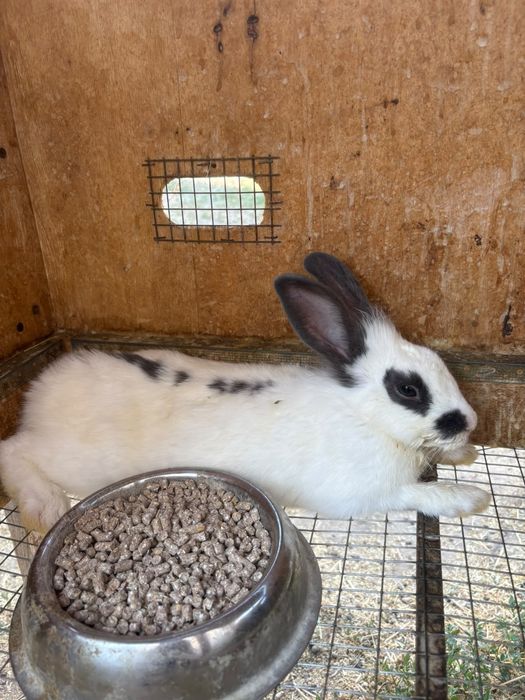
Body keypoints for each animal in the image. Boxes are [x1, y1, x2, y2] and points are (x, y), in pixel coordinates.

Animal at [0, 252, 490, 534]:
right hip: (73, 459)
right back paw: (44, 508)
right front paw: (468, 498)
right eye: (407, 388)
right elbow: (416, 495)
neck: (364, 416)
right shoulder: (361, 494)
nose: (469, 421)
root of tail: (43, 388)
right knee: (13, 451)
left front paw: (464, 453)